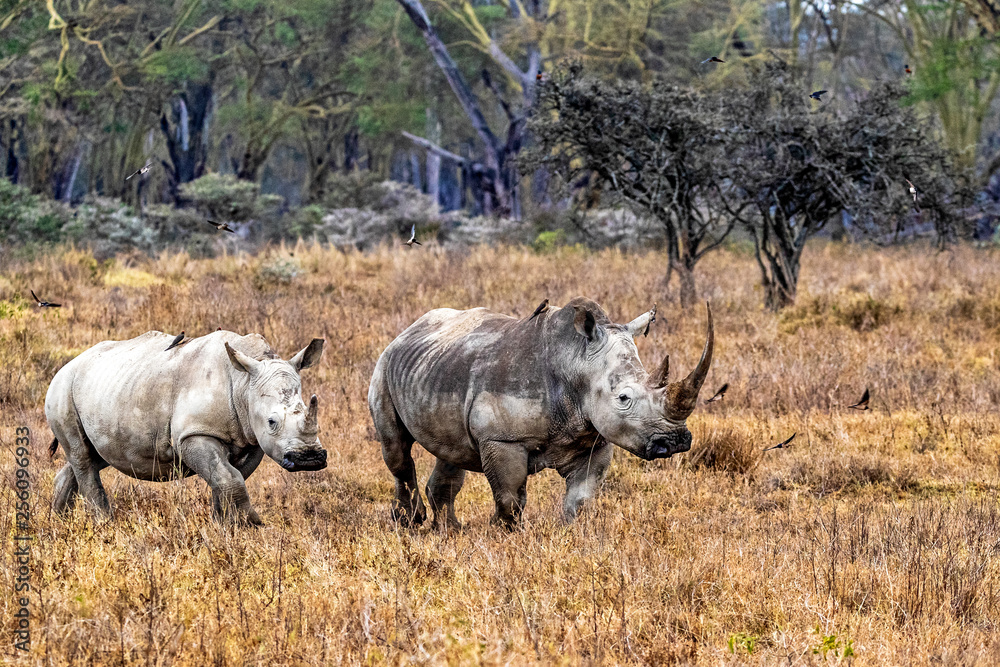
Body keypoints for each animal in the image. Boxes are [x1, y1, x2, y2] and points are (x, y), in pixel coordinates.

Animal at [44, 330, 326, 525]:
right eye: (272, 422)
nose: (310, 458)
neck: (244, 384)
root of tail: (67, 365)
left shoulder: (251, 437)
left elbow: (228, 478)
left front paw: (225, 526)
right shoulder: (193, 434)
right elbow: (229, 477)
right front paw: (251, 524)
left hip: (106, 390)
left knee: (95, 455)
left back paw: (60, 523)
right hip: (62, 388)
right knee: (82, 456)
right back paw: (104, 525)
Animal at [368, 297, 714, 529]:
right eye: (623, 398)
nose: (675, 441)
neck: (575, 361)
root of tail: (406, 332)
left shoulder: (596, 438)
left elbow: (580, 499)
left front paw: (570, 533)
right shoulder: (502, 439)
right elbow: (509, 497)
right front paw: (504, 534)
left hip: (435, 365)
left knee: (451, 452)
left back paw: (450, 531)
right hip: (383, 367)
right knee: (397, 450)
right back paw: (410, 523)